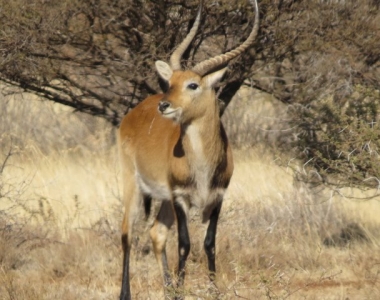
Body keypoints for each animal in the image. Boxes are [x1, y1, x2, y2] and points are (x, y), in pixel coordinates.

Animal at [119, 0, 260, 298]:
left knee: (156, 233)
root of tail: (133, 113)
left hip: (162, 199)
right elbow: (184, 243)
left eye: (192, 84)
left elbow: (209, 243)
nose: (164, 105)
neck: (203, 164)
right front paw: (183, 289)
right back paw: (127, 293)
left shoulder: (218, 197)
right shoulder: (180, 197)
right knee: (127, 233)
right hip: (133, 184)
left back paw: (168, 289)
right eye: (170, 82)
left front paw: (212, 290)